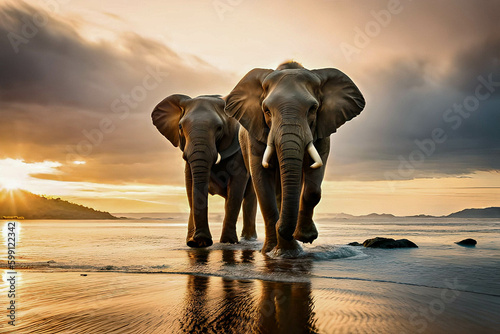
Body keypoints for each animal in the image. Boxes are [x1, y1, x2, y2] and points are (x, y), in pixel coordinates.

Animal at [151, 94, 258, 248]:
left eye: (219, 128)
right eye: (180, 127)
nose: (203, 241)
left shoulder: (237, 149)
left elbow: (237, 185)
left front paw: (228, 242)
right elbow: (190, 185)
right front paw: (194, 242)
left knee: (249, 197)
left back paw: (248, 239)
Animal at [224, 61, 364, 258]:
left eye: (313, 109)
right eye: (266, 110)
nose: (282, 228)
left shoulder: (322, 129)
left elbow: (313, 181)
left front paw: (304, 238)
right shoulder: (255, 131)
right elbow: (262, 179)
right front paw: (274, 251)